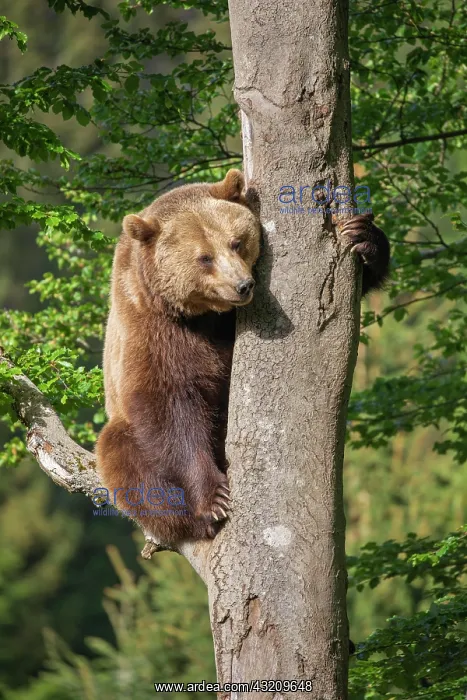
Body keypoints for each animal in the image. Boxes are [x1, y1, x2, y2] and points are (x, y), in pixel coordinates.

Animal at [96, 169, 390, 545]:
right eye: (204, 257)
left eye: (236, 242)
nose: (243, 285)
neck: (203, 315)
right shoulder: (153, 329)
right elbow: (168, 406)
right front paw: (213, 499)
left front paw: (363, 236)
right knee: (121, 454)